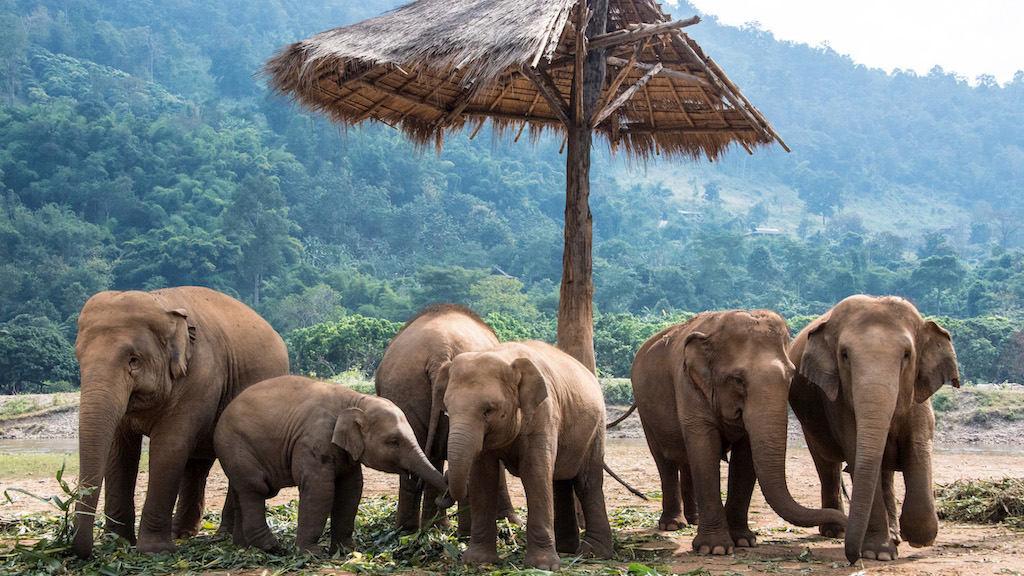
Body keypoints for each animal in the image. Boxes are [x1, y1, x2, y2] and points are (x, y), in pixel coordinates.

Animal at [72, 286, 290, 558]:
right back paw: (182, 534)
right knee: (197, 464)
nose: (80, 550)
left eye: (134, 360)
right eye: (79, 358)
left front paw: (153, 551)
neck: (163, 304)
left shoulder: (200, 376)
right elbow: (120, 451)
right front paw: (117, 545)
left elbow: (169, 447)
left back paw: (222, 536)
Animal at [214, 375, 449, 555]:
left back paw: (243, 546)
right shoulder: (314, 443)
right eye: (394, 442)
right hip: (236, 445)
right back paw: (272, 547)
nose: (446, 483)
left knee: (239, 489)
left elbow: (351, 488)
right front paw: (311, 554)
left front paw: (346, 550)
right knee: (254, 488)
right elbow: (320, 490)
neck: (356, 400)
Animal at [433, 340, 613, 571]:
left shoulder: (544, 413)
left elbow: (534, 473)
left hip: (596, 428)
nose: (446, 482)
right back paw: (566, 549)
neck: (505, 355)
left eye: (489, 411)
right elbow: (483, 478)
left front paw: (543, 566)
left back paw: (593, 553)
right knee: (559, 481)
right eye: (447, 410)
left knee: (586, 483)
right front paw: (478, 561)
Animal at [631, 310, 847, 555]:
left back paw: (694, 520)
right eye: (737, 379)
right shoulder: (687, 386)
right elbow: (704, 450)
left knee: (686, 461)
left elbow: (744, 458)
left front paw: (743, 541)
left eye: (791, 376)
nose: (845, 525)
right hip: (646, 413)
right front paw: (715, 548)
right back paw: (672, 525)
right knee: (665, 462)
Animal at [788, 295, 959, 563]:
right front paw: (878, 553)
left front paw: (918, 539)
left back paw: (895, 535)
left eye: (907, 355)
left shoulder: (918, 397)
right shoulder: (838, 402)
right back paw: (835, 532)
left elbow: (918, 446)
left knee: (884, 472)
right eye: (844, 355)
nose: (853, 558)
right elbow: (857, 450)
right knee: (828, 466)